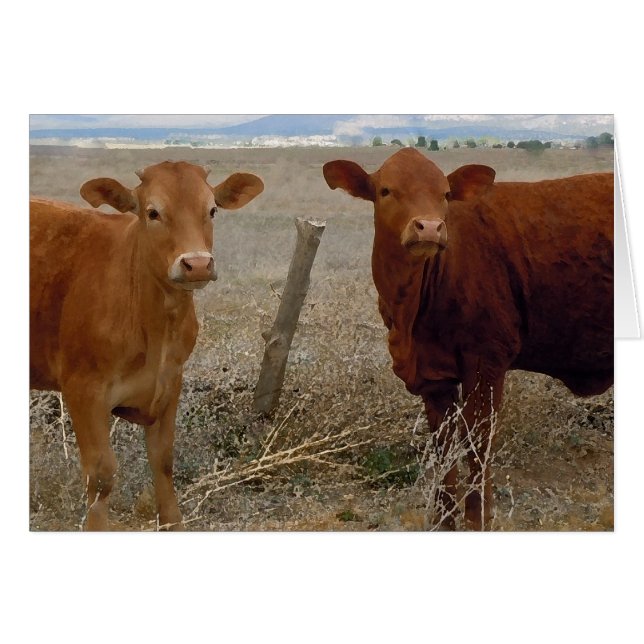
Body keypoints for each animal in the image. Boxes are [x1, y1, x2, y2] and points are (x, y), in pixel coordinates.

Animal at [30, 161, 264, 530]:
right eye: (153, 212)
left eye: (212, 210)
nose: (197, 264)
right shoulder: (83, 390)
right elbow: (101, 476)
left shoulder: (170, 384)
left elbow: (163, 462)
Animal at [323, 147, 613, 530]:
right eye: (386, 190)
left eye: (445, 194)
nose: (430, 227)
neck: (410, 312)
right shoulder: (433, 377)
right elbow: (444, 448)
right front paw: (444, 520)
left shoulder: (486, 361)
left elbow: (477, 442)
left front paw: (478, 519)